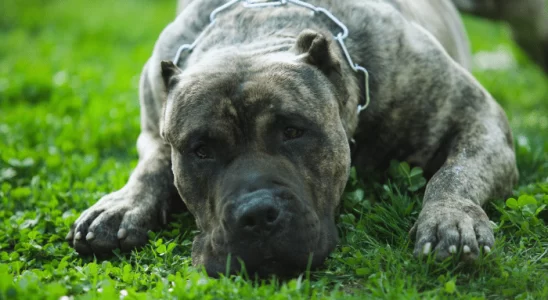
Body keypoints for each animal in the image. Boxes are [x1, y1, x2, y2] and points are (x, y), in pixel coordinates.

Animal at [67, 0, 520, 276]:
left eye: (293, 131)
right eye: (201, 150)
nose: (255, 214)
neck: (259, 31)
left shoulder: (477, 117)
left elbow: (454, 173)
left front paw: (450, 220)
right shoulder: (154, 129)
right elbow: (150, 168)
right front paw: (121, 206)